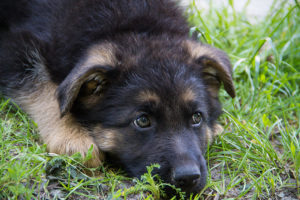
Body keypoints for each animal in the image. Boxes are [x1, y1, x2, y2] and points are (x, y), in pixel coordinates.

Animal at [0, 0, 234, 195]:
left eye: (197, 117)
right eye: (142, 120)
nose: (188, 178)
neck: (134, 25)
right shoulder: (14, 48)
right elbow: (45, 89)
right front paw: (71, 135)